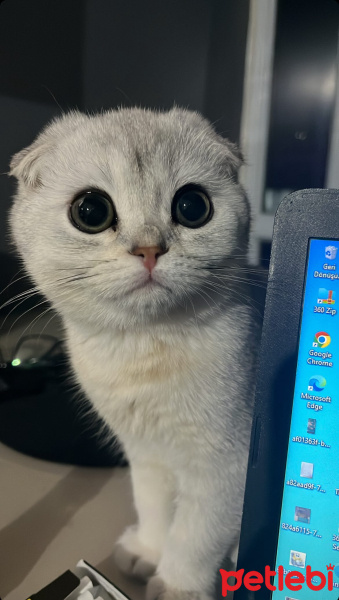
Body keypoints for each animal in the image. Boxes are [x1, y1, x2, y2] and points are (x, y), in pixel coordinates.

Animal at [9, 108, 260, 600]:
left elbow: (195, 534)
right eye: (90, 211)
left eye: (192, 207)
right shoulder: (145, 455)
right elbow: (154, 509)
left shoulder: (227, 467)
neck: (143, 355)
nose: (149, 249)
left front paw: (178, 585)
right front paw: (148, 550)